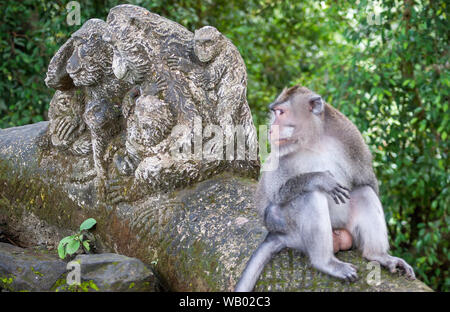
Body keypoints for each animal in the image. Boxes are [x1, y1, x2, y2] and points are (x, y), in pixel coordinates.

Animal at [236, 84, 414, 292]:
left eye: (281, 112)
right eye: (275, 113)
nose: (271, 129)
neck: (312, 140)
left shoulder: (349, 135)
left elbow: (367, 180)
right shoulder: (279, 152)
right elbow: (275, 193)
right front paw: (322, 179)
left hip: (343, 225)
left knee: (364, 192)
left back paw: (377, 255)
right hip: (291, 232)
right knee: (309, 196)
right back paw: (325, 262)